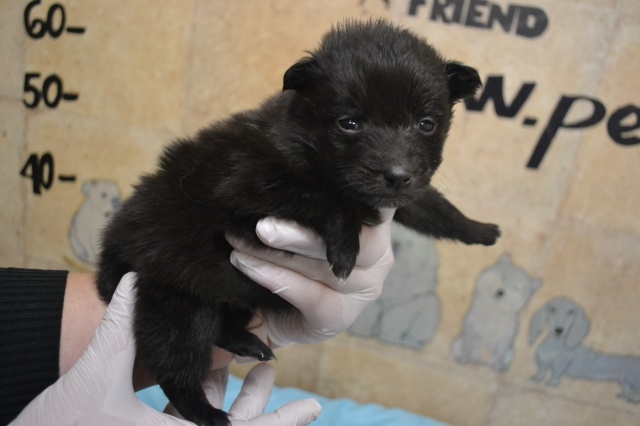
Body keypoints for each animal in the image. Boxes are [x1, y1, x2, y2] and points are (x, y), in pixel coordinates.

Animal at [97, 20, 500, 425]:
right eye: (349, 123)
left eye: (426, 124)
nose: (397, 175)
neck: (306, 138)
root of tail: (113, 247)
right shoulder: (249, 182)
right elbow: (326, 199)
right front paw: (345, 249)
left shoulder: (399, 194)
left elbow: (431, 206)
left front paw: (480, 229)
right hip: (177, 302)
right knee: (175, 362)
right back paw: (208, 412)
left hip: (229, 292)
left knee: (223, 323)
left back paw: (246, 343)